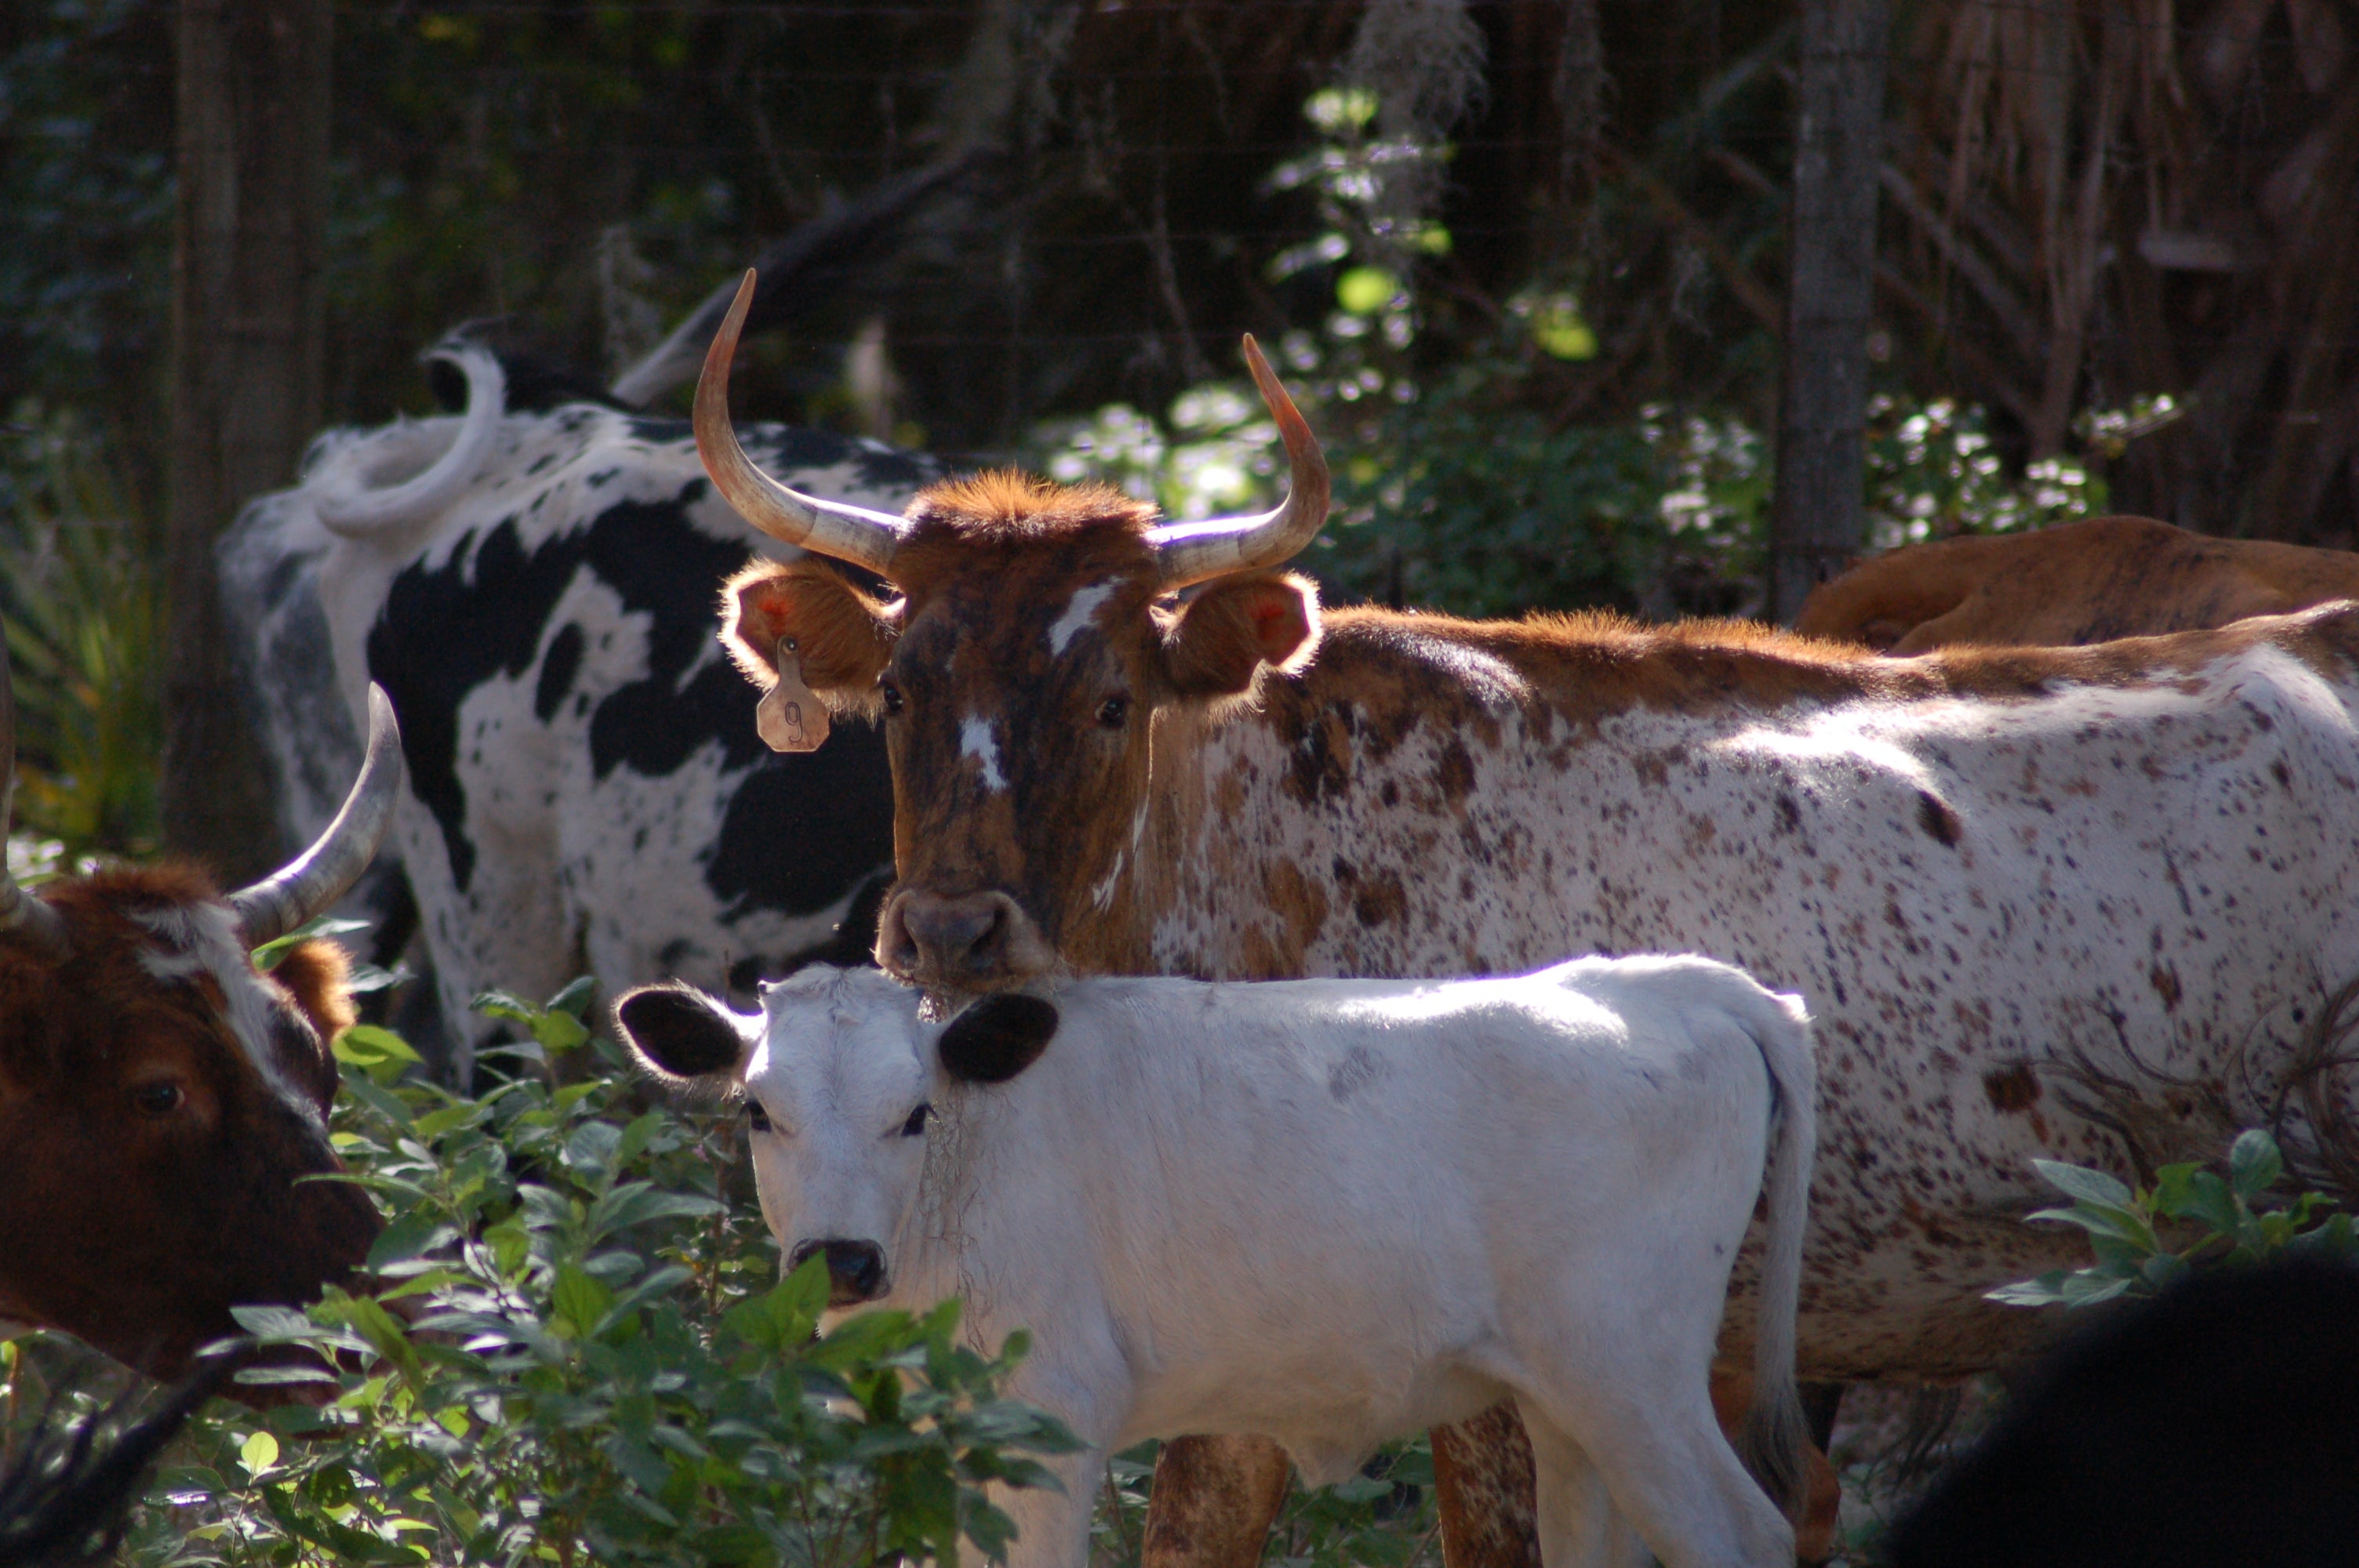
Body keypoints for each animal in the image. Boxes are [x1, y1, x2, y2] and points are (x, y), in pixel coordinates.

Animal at [618, 953, 1812, 1565]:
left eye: (915, 1113)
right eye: (758, 1110)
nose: (841, 1260)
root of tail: (1658, 982)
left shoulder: (1048, 1420)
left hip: (1634, 1375)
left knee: (1745, 1530)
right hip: (1569, 1397)